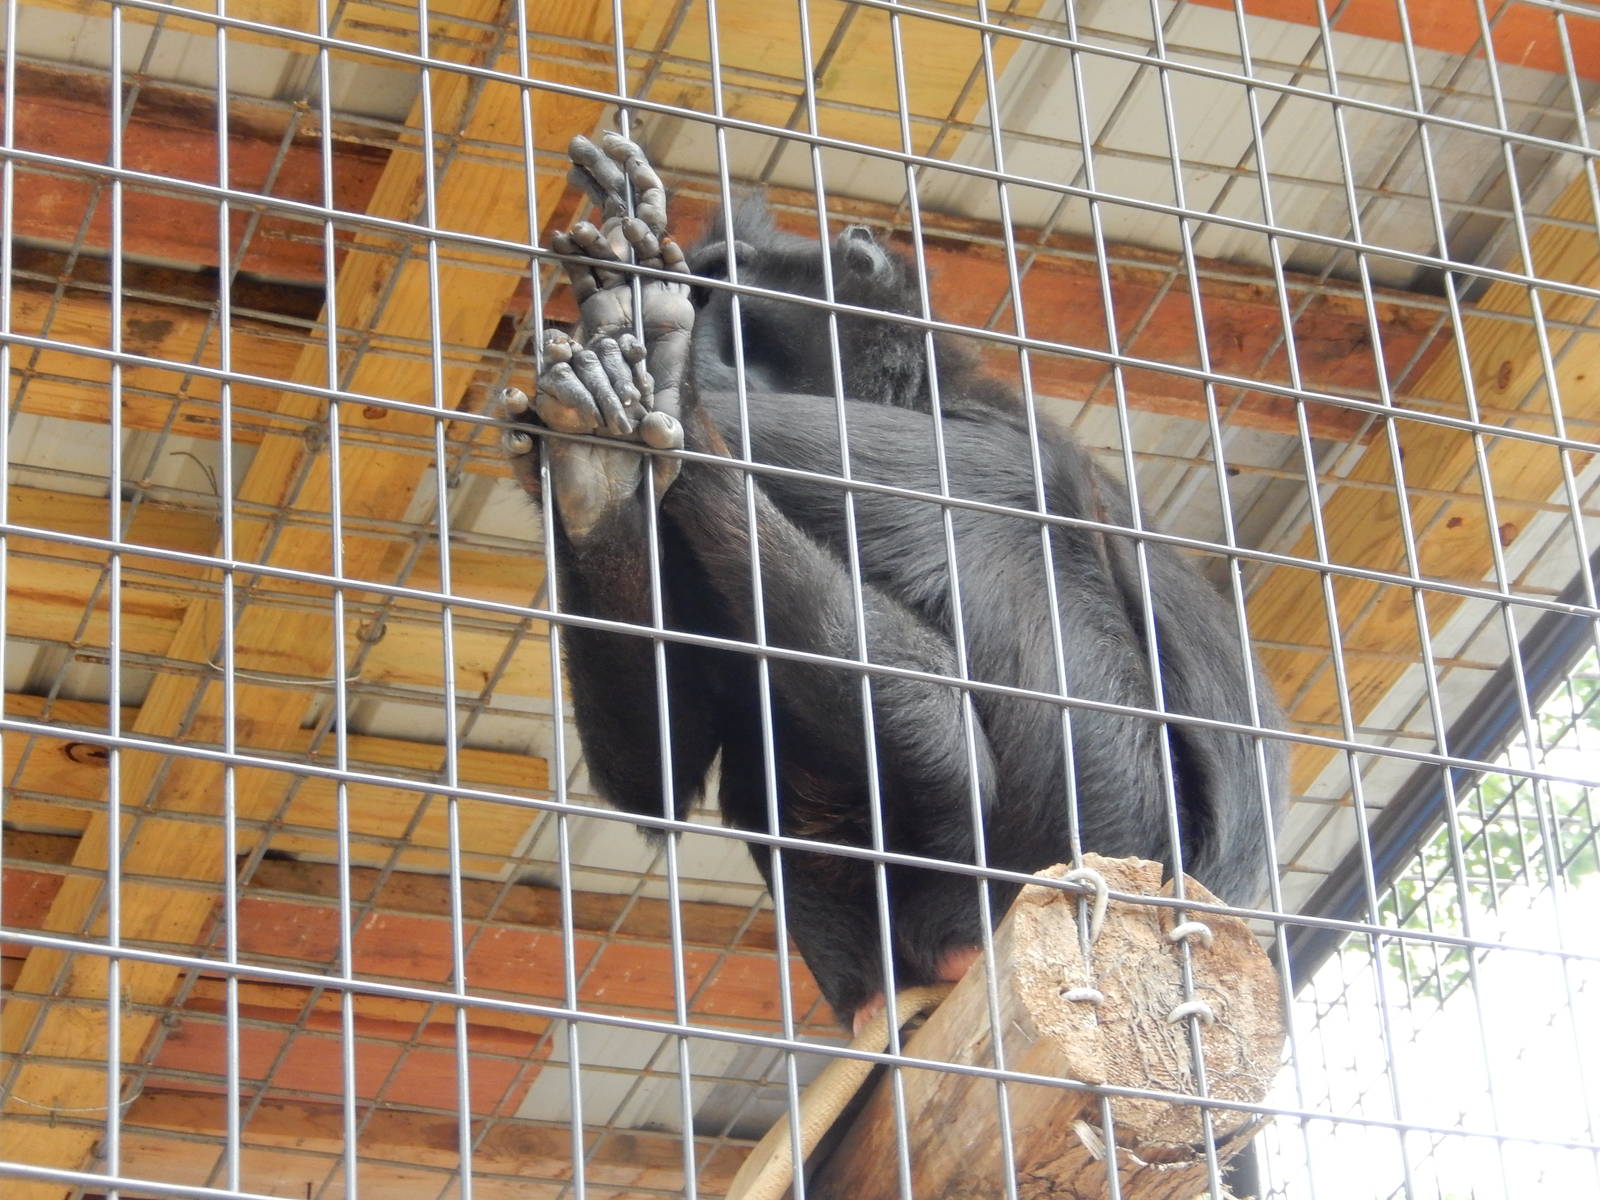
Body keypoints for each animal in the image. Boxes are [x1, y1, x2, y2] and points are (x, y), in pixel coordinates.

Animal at [499, 133, 1286, 1032]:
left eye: (731, 304)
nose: (704, 342)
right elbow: (662, 771)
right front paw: (594, 483)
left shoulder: (983, 448)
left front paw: (662, 366)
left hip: (1113, 828)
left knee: (1024, 546)